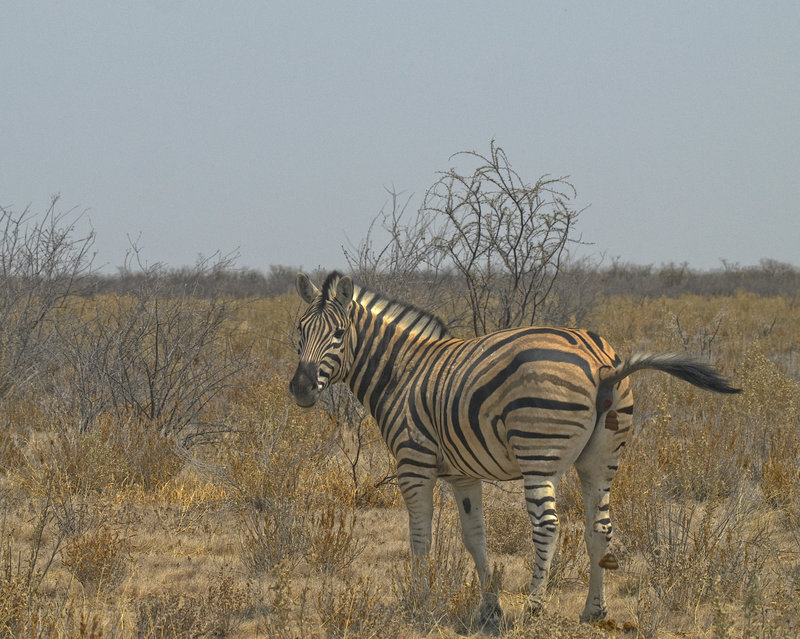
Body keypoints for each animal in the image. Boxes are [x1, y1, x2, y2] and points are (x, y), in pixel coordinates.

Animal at [289, 271, 740, 623]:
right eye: (299, 332)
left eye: (339, 334)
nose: (301, 388)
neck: (403, 372)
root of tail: (602, 363)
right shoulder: (463, 473)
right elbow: (475, 537)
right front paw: (490, 609)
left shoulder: (413, 463)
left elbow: (420, 537)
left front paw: (419, 603)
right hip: (601, 459)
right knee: (600, 528)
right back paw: (594, 611)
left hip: (538, 453)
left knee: (548, 526)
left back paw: (535, 607)